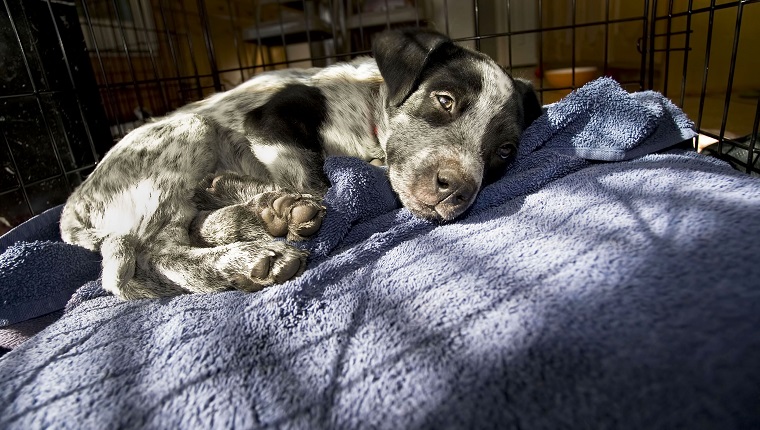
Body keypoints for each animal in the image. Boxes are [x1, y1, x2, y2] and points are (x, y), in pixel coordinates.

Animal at [62, 28, 544, 298]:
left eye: (504, 152)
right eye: (444, 100)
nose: (457, 189)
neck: (368, 125)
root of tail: (72, 209)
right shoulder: (272, 118)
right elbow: (313, 179)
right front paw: (293, 207)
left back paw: (250, 218)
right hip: (189, 132)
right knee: (146, 260)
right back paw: (251, 244)